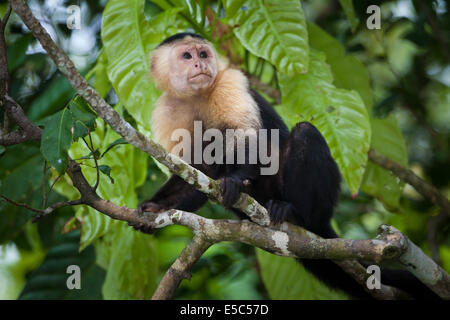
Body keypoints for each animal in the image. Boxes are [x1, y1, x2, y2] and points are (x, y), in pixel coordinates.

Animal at [134, 32, 440, 300]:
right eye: (187, 56)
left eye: (203, 53)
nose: (200, 64)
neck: (196, 96)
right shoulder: (165, 109)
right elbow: (196, 172)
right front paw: (156, 206)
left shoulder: (230, 80)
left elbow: (249, 137)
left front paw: (235, 180)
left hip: (321, 203)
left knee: (304, 134)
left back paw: (294, 213)